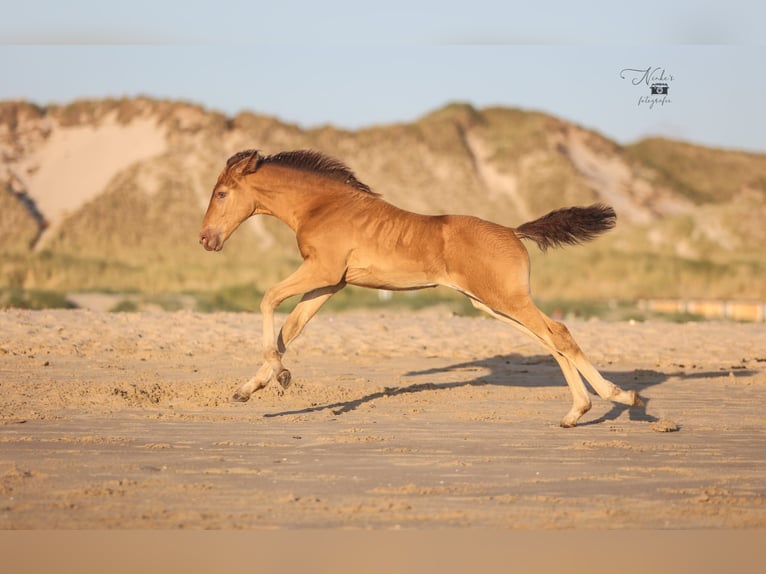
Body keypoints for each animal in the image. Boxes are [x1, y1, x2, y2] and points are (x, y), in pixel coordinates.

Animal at [199, 149, 643, 427]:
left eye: (221, 193)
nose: (205, 239)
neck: (322, 206)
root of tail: (513, 232)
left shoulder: (321, 272)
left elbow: (268, 300)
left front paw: (280, 376)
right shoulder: (331, 284)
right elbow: (289, 330)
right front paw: (250, 389)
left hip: (507, 299)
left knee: (560, 334)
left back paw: (621, 397)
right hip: (491, 304)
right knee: (550, 341)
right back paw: (576, 412)